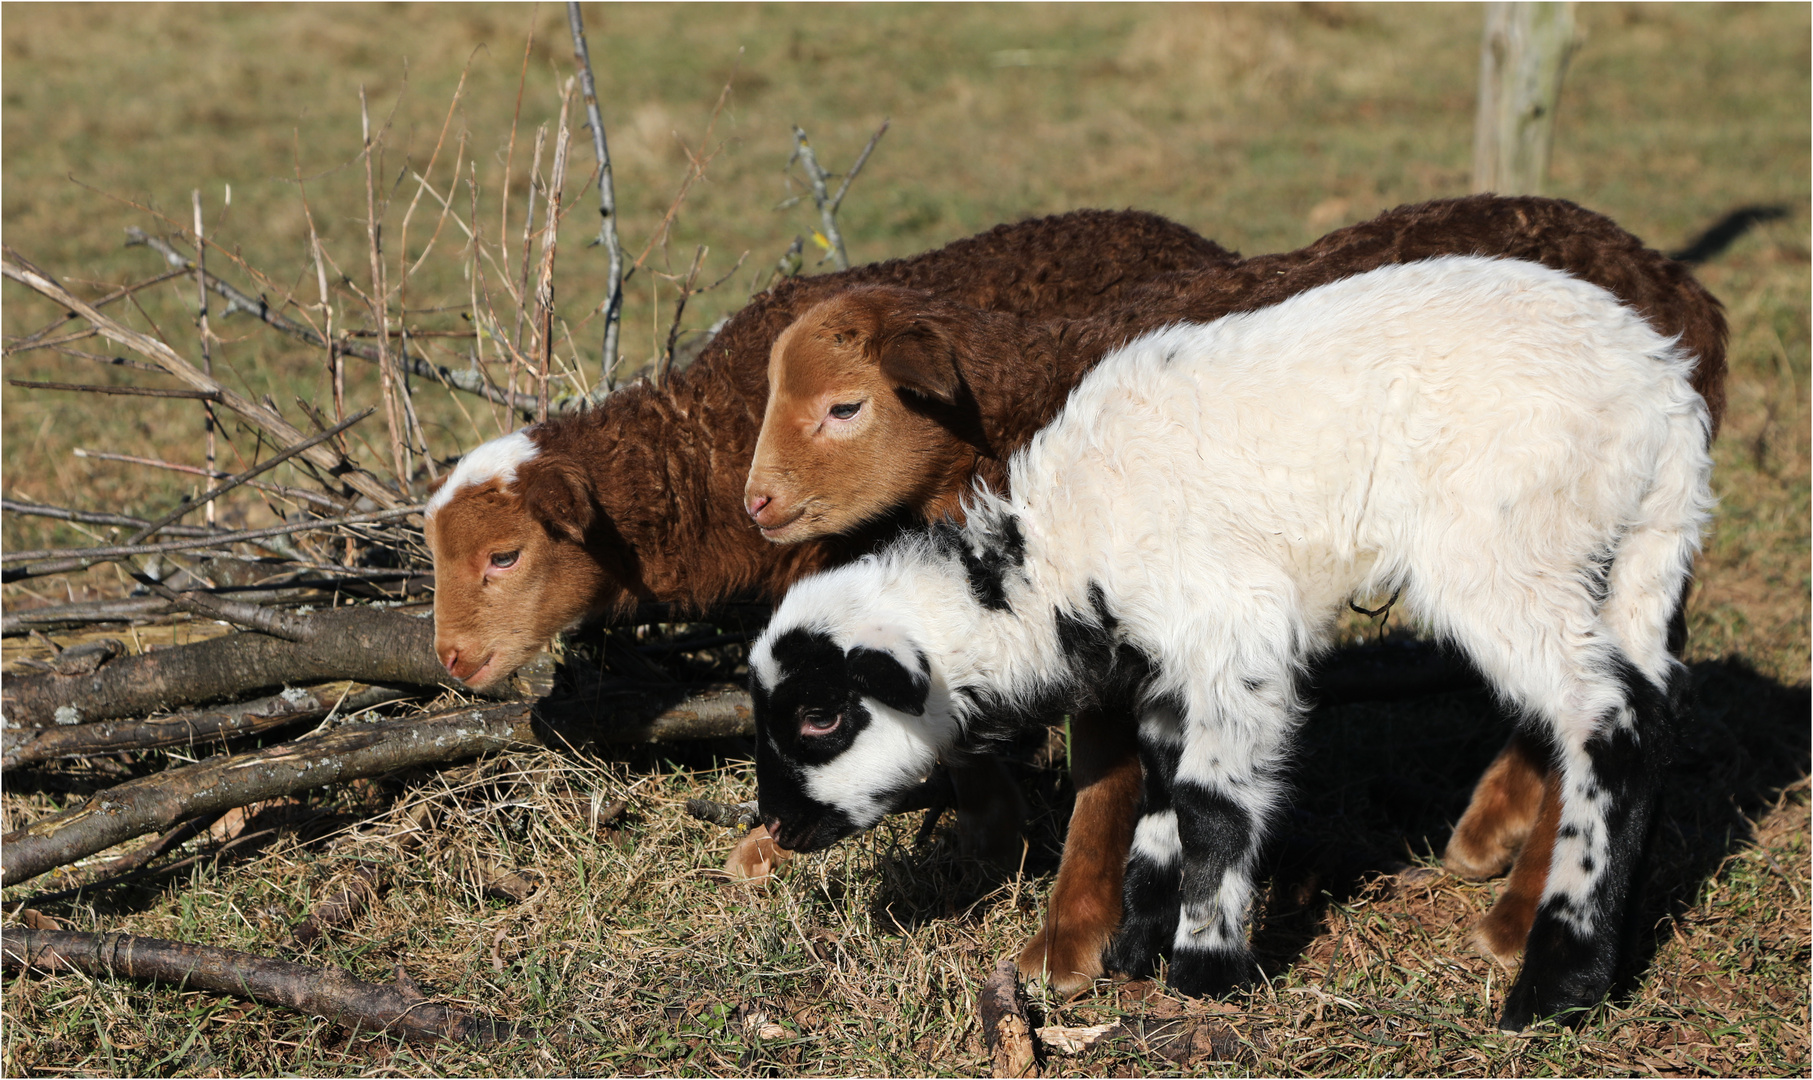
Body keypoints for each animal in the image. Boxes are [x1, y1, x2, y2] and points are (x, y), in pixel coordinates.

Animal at [746, 192, 1725, 985]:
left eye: (821, 716)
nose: (778, 829)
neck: (1052, 554)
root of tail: (1665, 391)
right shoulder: (1168, 665)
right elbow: (1159, 799)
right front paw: (1134, 949)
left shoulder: (1235, 629)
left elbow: (1208, 804)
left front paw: (1197, 971)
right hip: (1624, 549)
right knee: (1642, 696)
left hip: (1504, 547)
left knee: (1609, 714)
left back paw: (1552, 968)